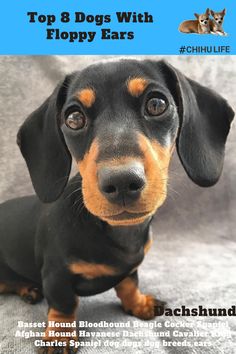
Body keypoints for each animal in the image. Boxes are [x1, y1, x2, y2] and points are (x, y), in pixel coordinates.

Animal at [0, 59, 234, 352]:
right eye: (73, 118)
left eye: (156, 104)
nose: (122, 181)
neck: (117, 232)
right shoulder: (56, 274)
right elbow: (64, 304)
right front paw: (60, 335)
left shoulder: (130, 268)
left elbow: (128, 285)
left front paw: (139, 304)